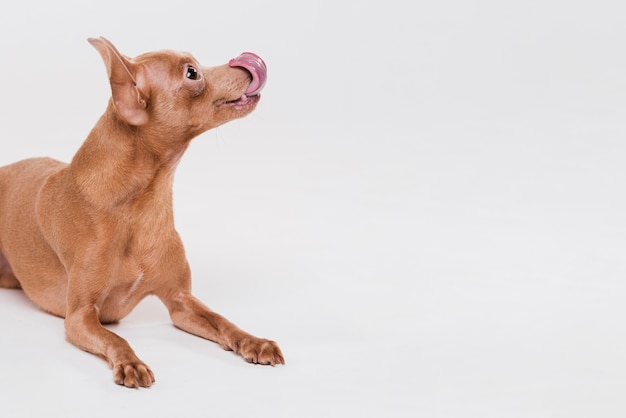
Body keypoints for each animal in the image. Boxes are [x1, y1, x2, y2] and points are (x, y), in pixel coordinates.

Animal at [0, 38, 282, 388]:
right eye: (192, 73)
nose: (245, 63)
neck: (141, 206)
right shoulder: (79, 317)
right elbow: (115, 338)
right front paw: (130, 362)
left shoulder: (181, 301)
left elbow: (222, 320)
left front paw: (253, 341)